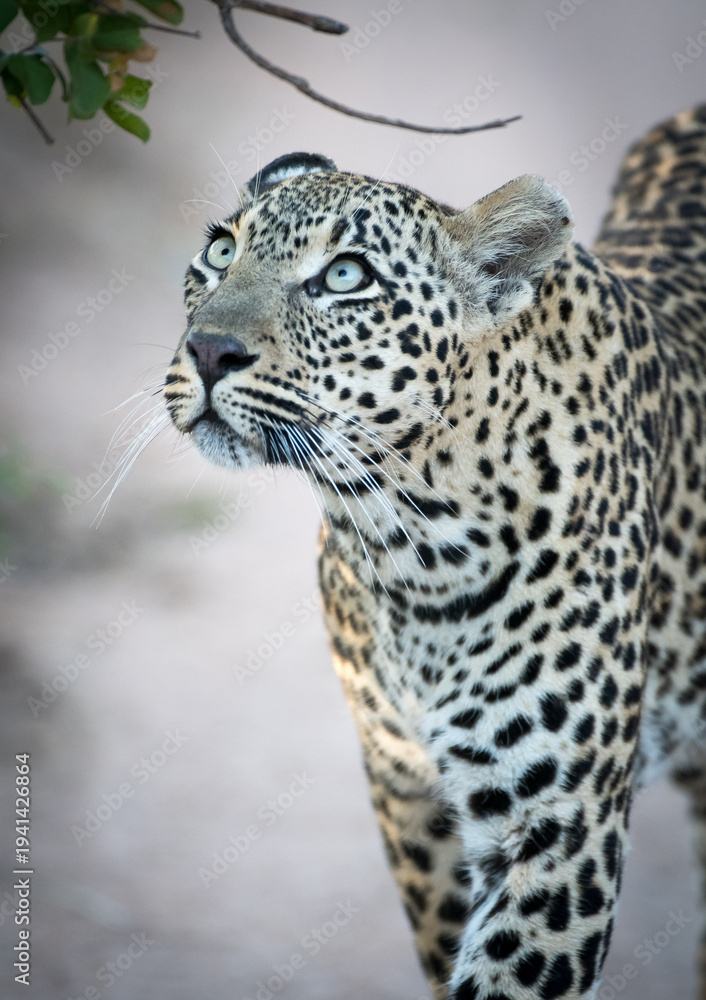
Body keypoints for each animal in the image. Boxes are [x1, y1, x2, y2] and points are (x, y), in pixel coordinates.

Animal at [163, 106, 706, 999]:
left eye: (345, 276)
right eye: (219, 250)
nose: (208, 350)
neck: (411, 538)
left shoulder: (559, 831)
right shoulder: (407, 790)